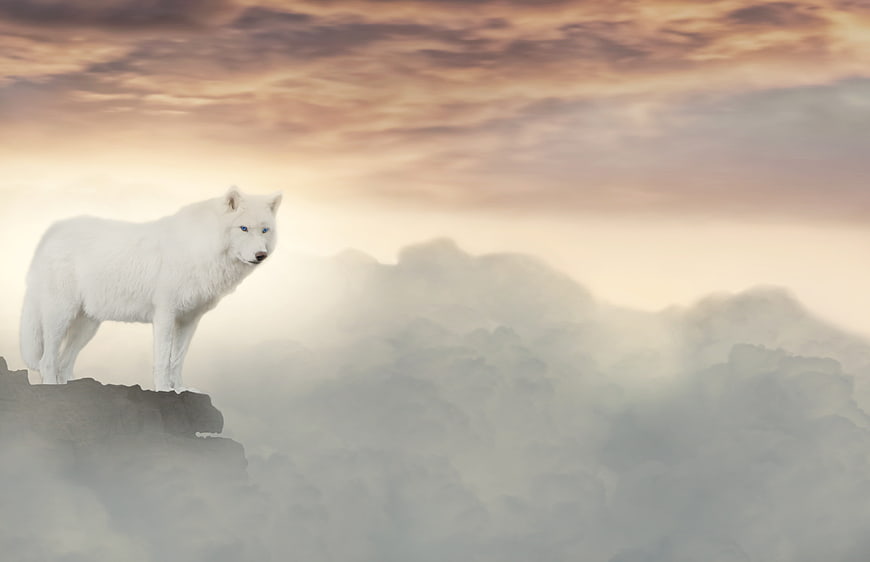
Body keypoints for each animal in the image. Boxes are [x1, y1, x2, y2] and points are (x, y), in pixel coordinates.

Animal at [19, 187, 281, 391]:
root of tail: (51, 232)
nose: (261, 255)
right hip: (60, 317)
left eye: (264, 230)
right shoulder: (165, 315)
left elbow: (178, 360)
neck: (201, 247)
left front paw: (180, 389)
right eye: (243, 228)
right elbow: (163, 360)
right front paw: (164, 390)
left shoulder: (189, 320)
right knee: (47, 361)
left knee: (64, 364)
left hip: (87, 327)